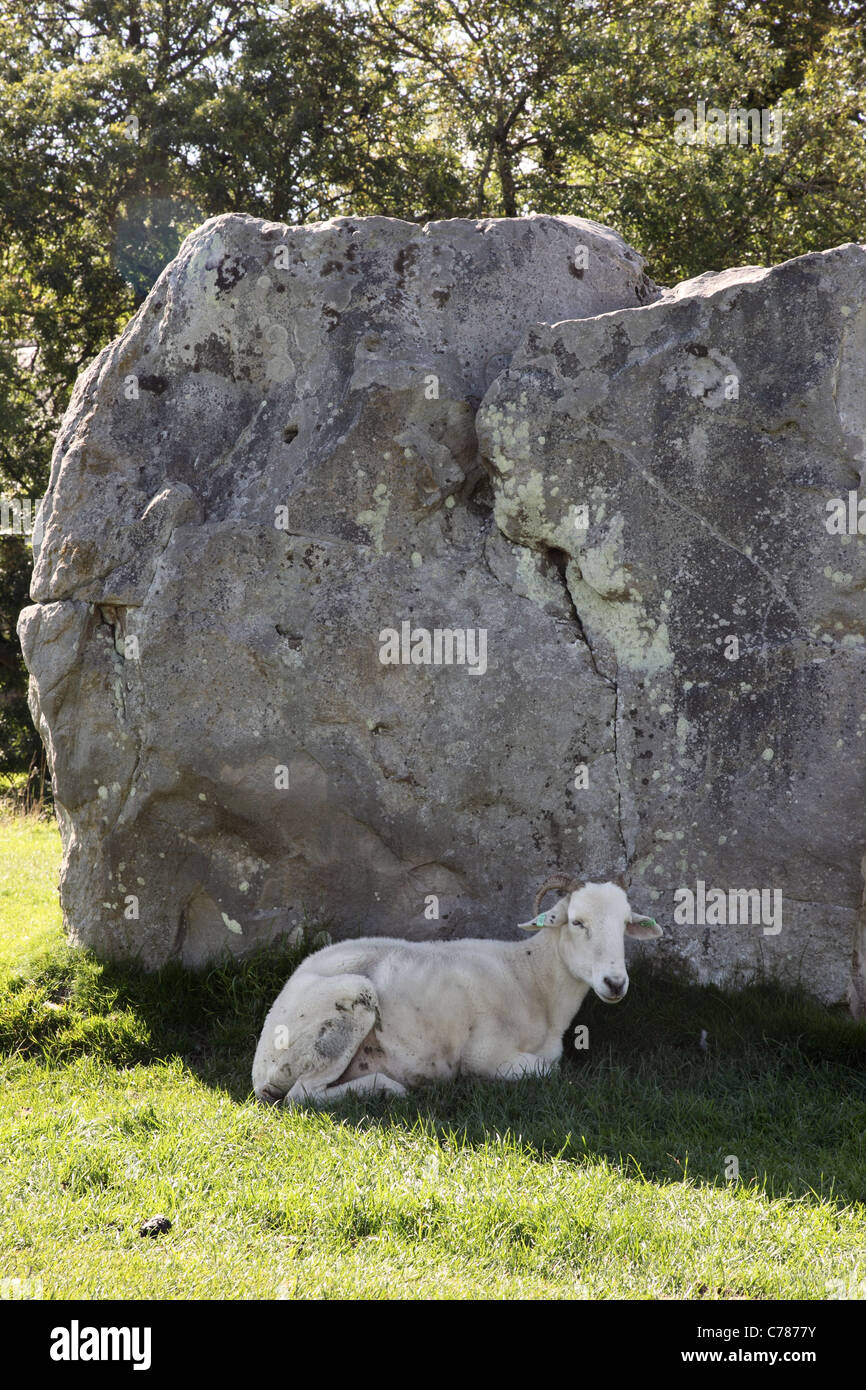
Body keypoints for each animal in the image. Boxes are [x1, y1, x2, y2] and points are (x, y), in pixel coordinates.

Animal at [252, 878, 664, 1106]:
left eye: (625, 925)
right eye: (577, 922)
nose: (615, 983)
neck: (531, 978)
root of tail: (260, 1066)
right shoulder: (484, 1054)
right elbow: (548, 1071)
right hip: (346, 1004)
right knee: (302, 1095)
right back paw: (388, 1089)